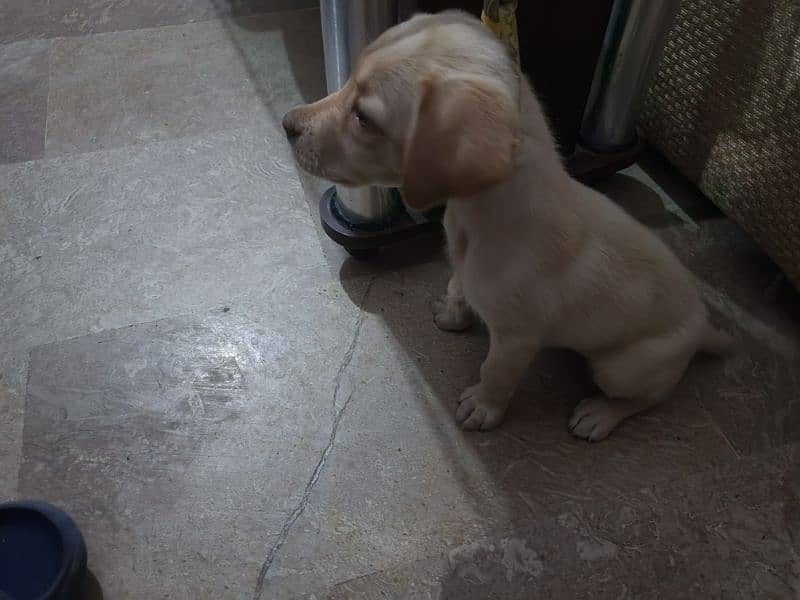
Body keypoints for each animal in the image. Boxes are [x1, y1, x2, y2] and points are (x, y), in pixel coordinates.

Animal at [282, 9, 732, 440]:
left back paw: (601, 414)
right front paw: (453, 314)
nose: (287, 124)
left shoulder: (518, 338)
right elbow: (458, 289)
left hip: (622, 368)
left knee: (648, 397)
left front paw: (484, 406)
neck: (481, 216)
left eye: (363, 117)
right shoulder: (464, 273)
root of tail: (702, 327)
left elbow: (496, 373)